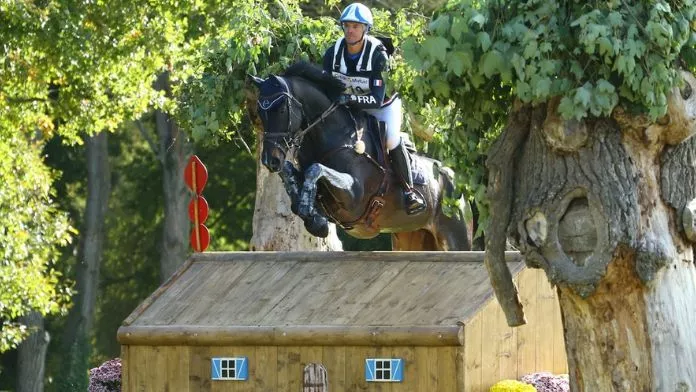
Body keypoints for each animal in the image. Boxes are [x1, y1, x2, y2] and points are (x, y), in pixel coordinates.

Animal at [250, 62, 474, 250]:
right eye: (260, 112)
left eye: (281, 110)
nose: (270, 161)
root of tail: (455, 180)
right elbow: (291, 172)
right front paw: (313, 217)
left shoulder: (354, 196)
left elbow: (316, 169)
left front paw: (309, 211)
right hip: (411, 237)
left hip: (455, 237)